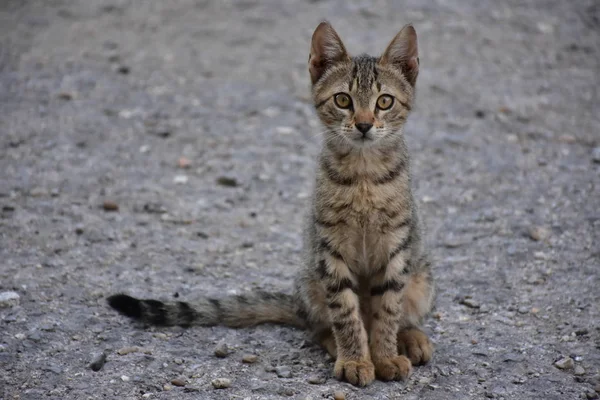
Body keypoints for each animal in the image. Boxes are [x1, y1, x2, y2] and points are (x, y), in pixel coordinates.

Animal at [109, 21, 436, 388]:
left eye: (384, 101)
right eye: (343, 99)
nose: (365, 125)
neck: (364, 176)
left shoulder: (397, 246)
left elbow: (388, 310)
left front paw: (384, 356)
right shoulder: (330, 248)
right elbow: (345, 313)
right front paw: (355, 359)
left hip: (421, 277)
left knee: (403, 315)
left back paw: (412, 339)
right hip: (311, 279)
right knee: (319, 325)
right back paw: (340, 346)